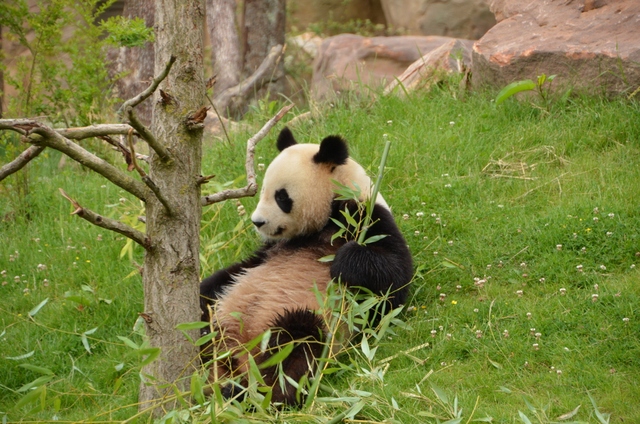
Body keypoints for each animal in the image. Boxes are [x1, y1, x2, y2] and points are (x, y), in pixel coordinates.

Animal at [198, 127, 412, 406]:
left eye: (281, 196)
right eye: (262, 190)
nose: (257, 222)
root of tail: (237, 356)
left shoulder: (368, 218)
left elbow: (394, 281)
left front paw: (343, 262)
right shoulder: (273, 248)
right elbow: (235, 270)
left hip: (301, 319)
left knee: (295, 345)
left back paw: (255, 394)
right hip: (221, 315)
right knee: (205, 308)